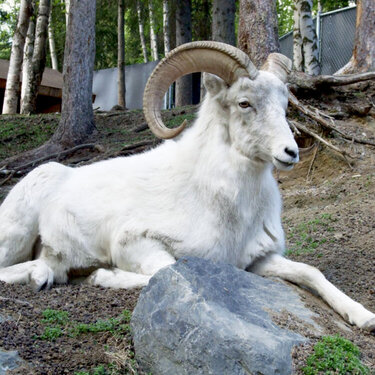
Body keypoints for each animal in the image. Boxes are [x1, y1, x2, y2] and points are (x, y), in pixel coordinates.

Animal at [0, 42, 374, 334]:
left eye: (284, 105)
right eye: (244, 103)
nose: (290, 152)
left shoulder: (256, 261)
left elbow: (311, 272)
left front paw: (363, 316)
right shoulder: (135, 243)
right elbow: (165, 270)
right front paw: (101, 276)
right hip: (17, 235)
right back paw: (43, 275)